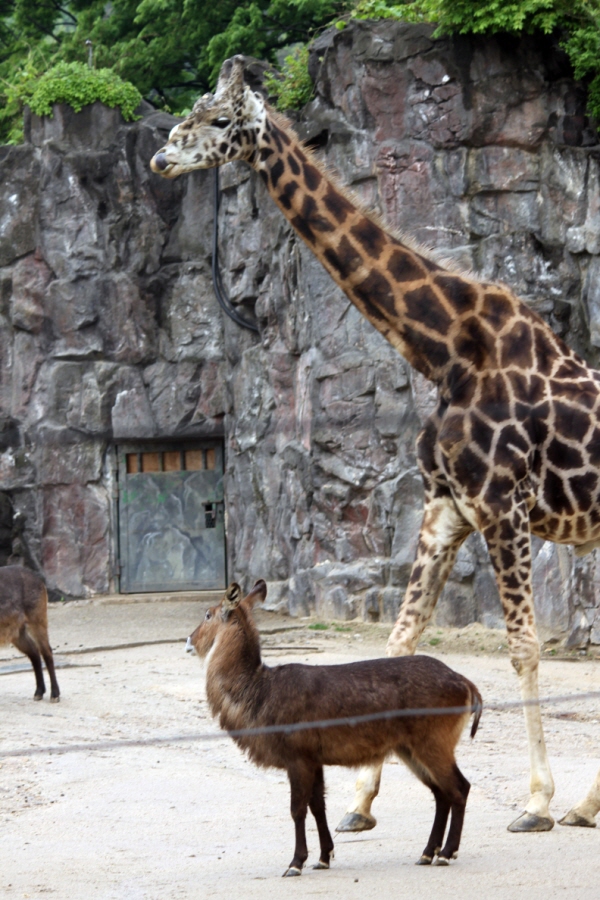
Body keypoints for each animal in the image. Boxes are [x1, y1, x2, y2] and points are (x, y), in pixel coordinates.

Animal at [151, 55, 600, 836]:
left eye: (218, 119)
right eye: (193, 112)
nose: (160, 158)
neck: (448, 350)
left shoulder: (502, 504)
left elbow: (523, 647)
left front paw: (536, 802)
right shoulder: (447, 507)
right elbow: (401, 637)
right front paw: (362, 800)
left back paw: (570, 804)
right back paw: (586, 805)